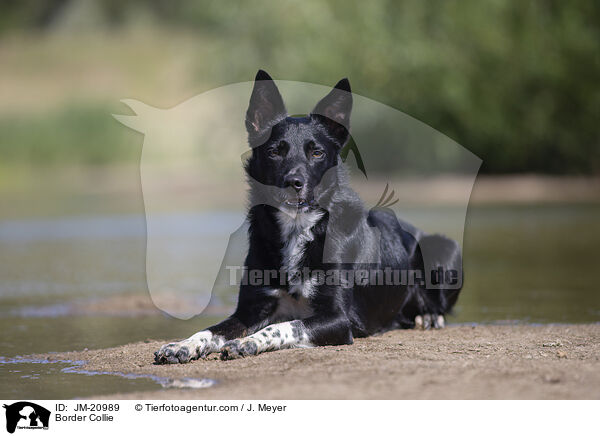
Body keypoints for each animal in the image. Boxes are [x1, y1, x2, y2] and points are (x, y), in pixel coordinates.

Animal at [152, 70, 462, 364]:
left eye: (317, 152)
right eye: (274, 151)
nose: (294, 182)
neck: (297, 229)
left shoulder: (338, 319)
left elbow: (285, 325)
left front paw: (247, 342)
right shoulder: (249, 310)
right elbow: (210, 330)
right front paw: (182, 345)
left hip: (444, 248)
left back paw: (429, 316)